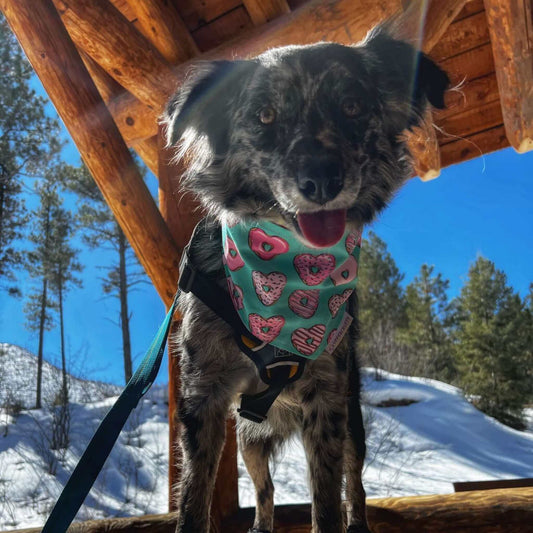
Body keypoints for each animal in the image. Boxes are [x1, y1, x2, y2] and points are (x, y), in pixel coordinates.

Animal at [163, 25, 448, 532]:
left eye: (352, 105)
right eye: (264, 115)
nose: (321, 180)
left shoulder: (327, 400)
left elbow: (327, 501)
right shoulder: (205, 396)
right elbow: (194, 500)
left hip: (352, 419)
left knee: (355, 482)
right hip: (250, 439)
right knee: (266, 488)